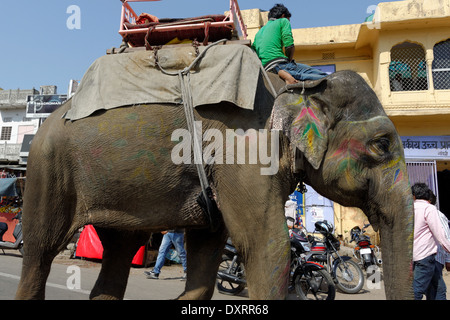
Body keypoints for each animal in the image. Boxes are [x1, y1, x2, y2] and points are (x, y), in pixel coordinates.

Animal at [15, 47, 414, 300]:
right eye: (381, 145)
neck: (294, 88)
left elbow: (207, 253)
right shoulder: (243, 149)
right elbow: (267, 247)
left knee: (119, 252)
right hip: (47, 169)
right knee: (40, 251)